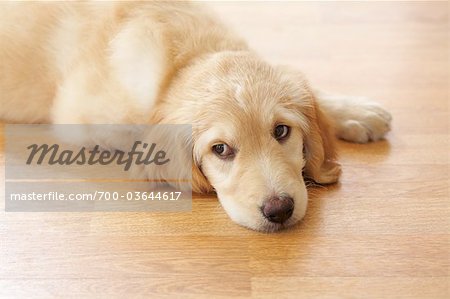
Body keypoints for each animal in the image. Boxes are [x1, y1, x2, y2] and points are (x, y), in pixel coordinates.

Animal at [0, 1, 390, 232]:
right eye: (220, 150)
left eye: (282, 131)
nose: (279, 210)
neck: (183, 61)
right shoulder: (81, 117)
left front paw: (355, 111)